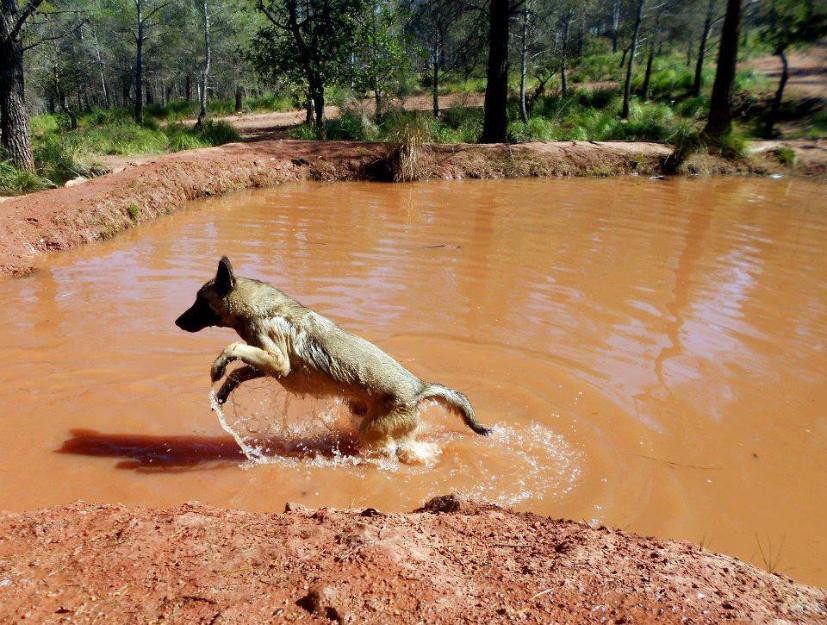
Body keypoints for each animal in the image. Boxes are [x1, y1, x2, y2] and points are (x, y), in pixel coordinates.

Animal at [171, 256, 488, 460]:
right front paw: (223, 388)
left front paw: (217, 368)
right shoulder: (271, 366)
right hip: (363, 414)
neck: (259, 308)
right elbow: (239, 371)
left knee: (390, 451)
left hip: (372, 431)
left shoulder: (277, 360)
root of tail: (419, 388)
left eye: (200, 301)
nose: (176, 322)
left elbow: (233, 346)